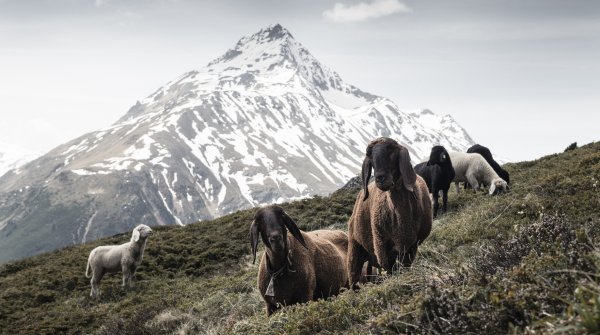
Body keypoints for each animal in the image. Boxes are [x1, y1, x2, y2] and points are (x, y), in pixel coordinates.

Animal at [346, 138, 432, 288]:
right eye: (371, 158)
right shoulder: (381, 243)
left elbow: (405, 266)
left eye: (392, 152)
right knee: (353, 275)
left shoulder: (411, 245)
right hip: (355, 245)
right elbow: (389, 268)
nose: (380, 178)